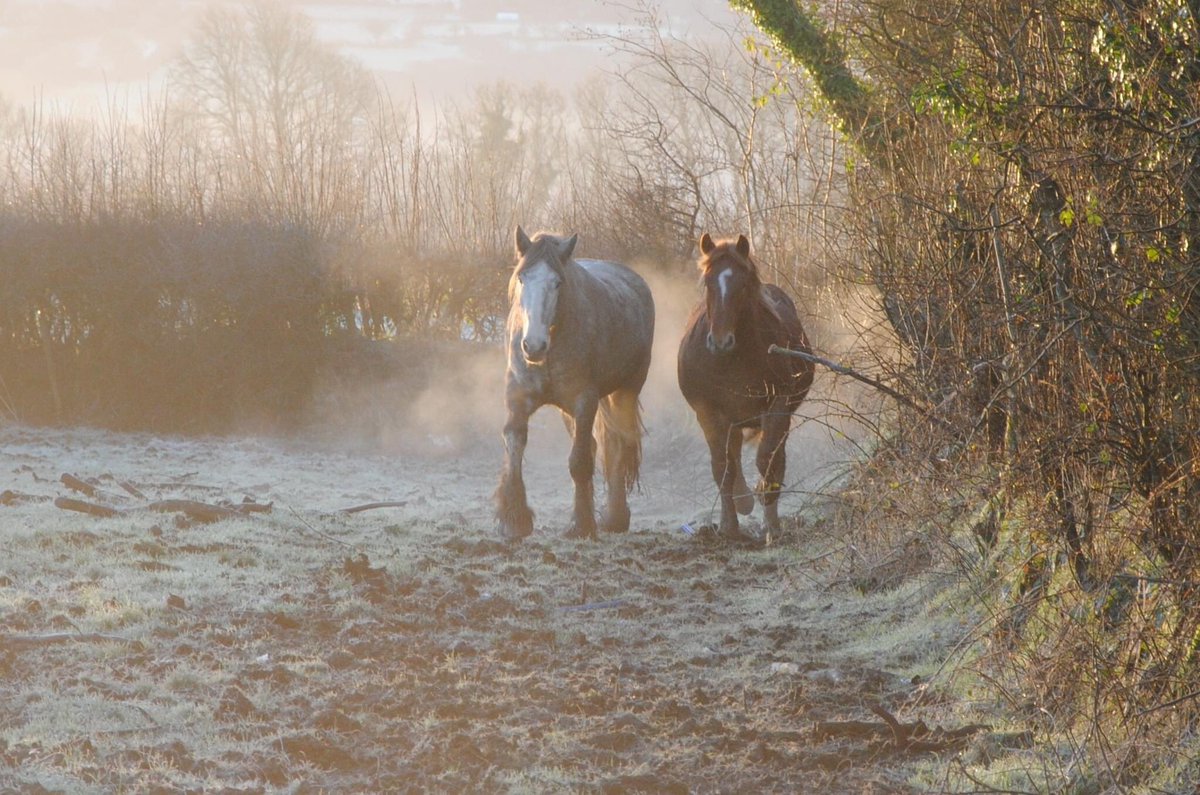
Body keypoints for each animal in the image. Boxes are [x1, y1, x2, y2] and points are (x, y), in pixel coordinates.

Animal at [494, 226, 652, 545]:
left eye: (557, 283)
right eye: (522, 278)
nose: (533, 346)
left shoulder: (584, 401)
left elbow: (579, 462)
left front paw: (582, 525)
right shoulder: (518, 398)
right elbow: (514, 446)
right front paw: (514, 520)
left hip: (625, 392)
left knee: (617, 443)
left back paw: (615, 516)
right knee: (597, 444)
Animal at [676, 234, 816, 538]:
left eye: (742, 285)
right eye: (708, 282)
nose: (720, 341)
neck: (731, 361)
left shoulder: (778, 404)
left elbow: (767, 459)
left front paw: (771, 525)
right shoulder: (708, 412)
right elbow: (723, 468)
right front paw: (729, 525)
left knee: (775, 455)